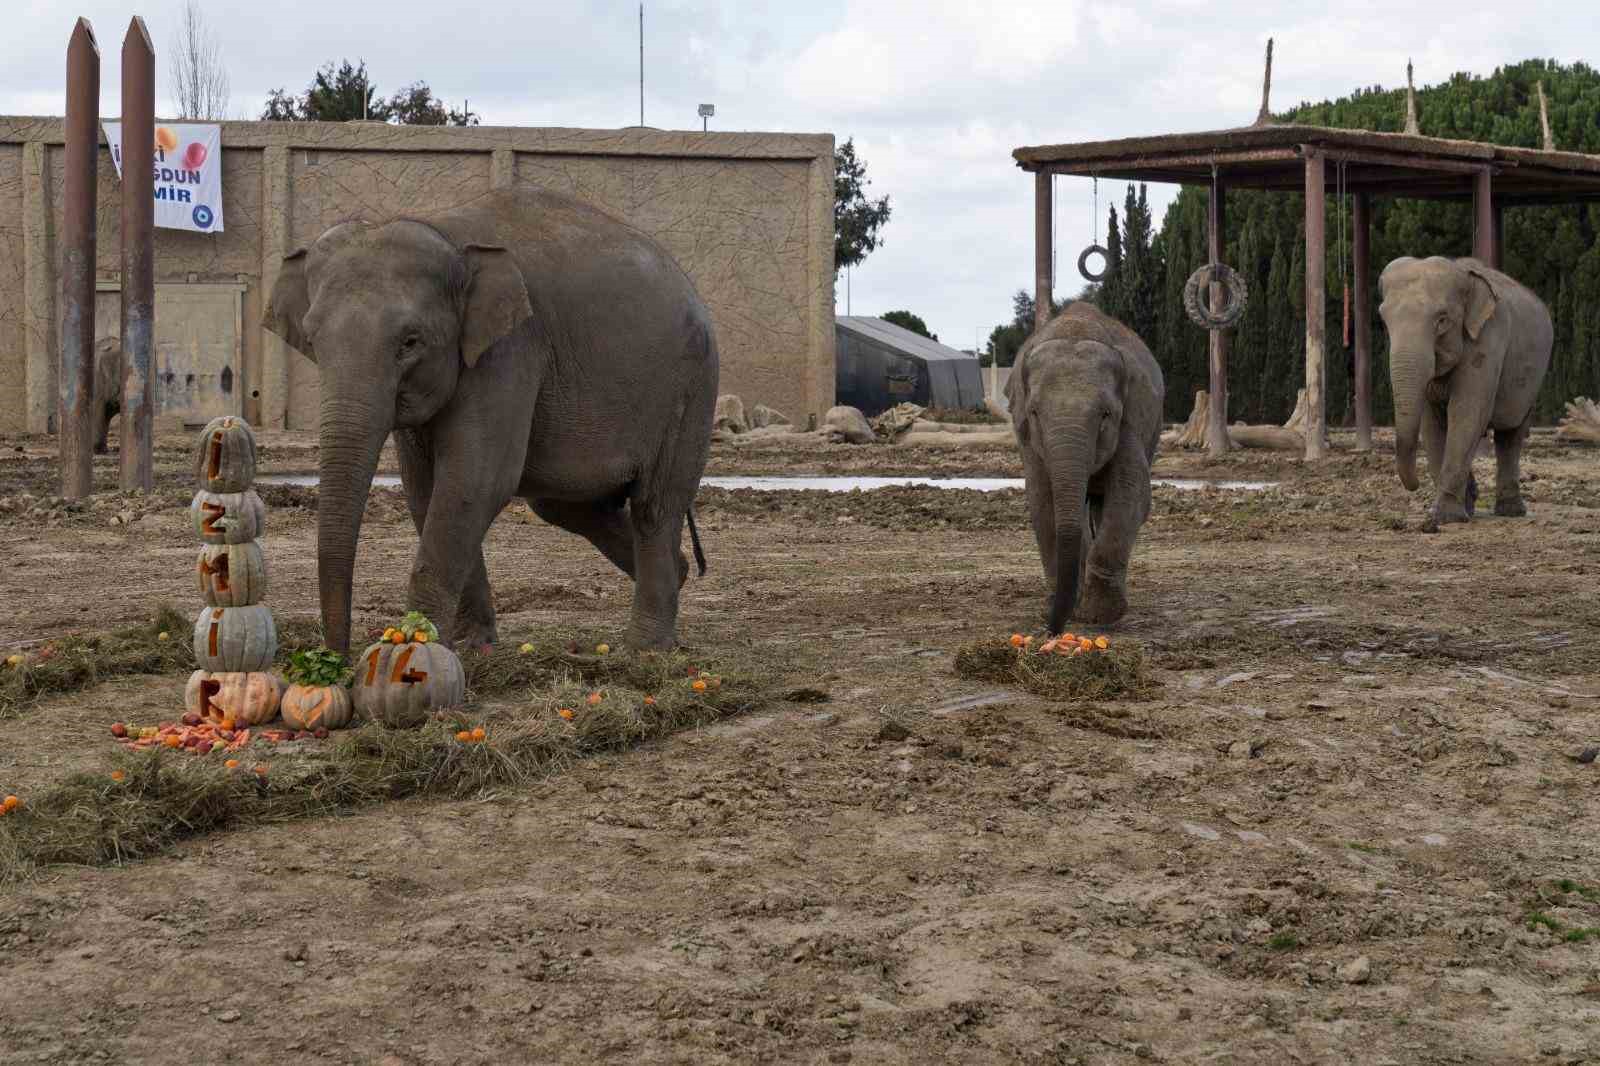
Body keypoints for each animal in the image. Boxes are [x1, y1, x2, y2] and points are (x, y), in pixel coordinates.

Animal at [265, 186, 716, 653]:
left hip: (690, 389)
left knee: (655, 506)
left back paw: (645, 647)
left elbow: (473, 481)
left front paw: (418, 645)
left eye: (410, 341)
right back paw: (682, 574)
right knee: (565, 505)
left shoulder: (511, 350)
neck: (443, 232)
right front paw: (469, 645)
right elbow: (425, 489)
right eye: (311, 338)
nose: (335, 658)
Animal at [998, 299, 1164, 630]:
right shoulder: (1028, 438)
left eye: (1106, 414)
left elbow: (1132, 491)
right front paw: (1067, 608)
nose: (1052, 629)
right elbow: (1040, 498)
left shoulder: (1131, 419)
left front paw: (1100, 615)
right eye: (1034, 412)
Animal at [1382, 257, 1555, 531]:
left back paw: (1511, 511)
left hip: (1534, 378)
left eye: (1442, 320)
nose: (1415, 485)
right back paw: (1474, 506)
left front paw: (1444, 518)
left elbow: (1466, 413)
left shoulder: (1488, 340)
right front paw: (1457, 511)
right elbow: (1432, 425)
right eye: (1384, 320)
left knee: (1511, 434)